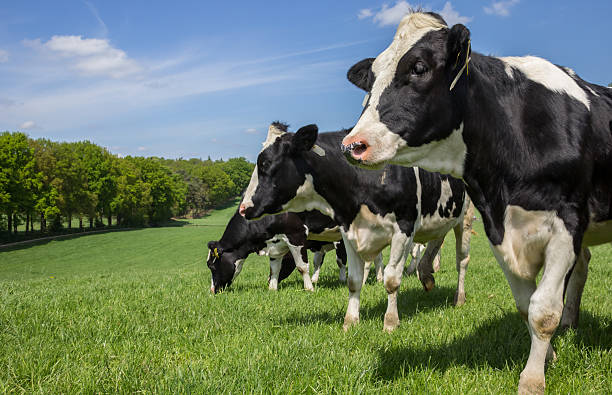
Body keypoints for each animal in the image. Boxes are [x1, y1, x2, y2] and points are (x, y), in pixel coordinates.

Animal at [208, 210, 346, 294]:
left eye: (211, 266)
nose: (212, 290)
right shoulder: (276, 245)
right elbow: (274, 269)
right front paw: (272, 288)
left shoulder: (296, 236)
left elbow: (302, 267)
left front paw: (309, 288)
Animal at [239, 122, 474, 332]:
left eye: (266, 163)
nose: (243, 207)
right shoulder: (348, 231)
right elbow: (353, 281)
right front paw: (350, 321)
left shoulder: (404, 229)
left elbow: (391, 280)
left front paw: (390, 323)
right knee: (436, 242)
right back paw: (426, 276)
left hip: (465, 218)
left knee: (461, 261)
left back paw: (459, 298)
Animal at [340, 10, 608, 394]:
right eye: (371, 78)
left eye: (419, 67)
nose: (353, 144)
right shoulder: (498, 227)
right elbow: (526, 305)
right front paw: (551, 355)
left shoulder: (566, 224)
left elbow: (543, 310)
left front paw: (532, 379)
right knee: (583, 266)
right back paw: (571, 321)